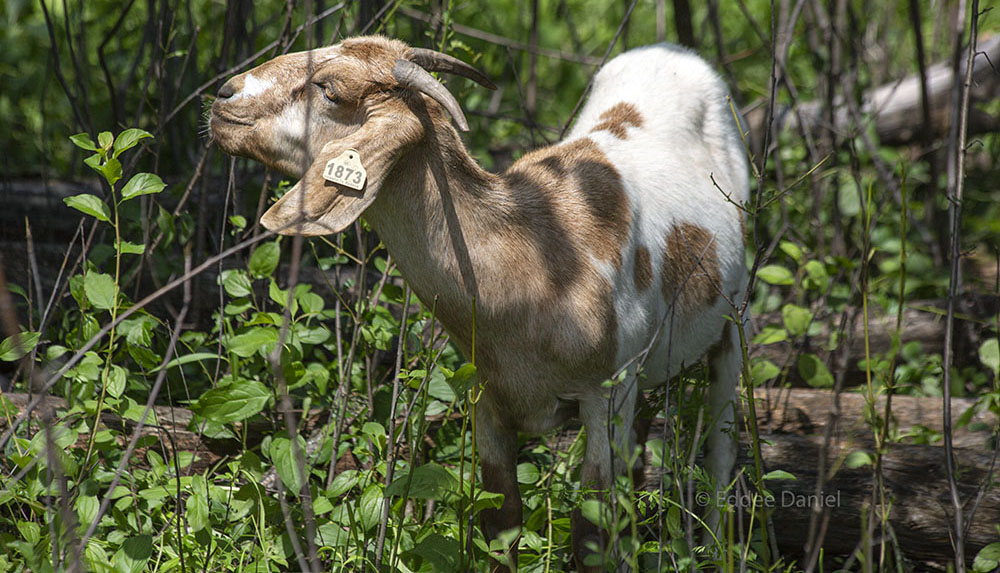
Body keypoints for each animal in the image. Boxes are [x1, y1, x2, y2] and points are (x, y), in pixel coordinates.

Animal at [211, 34, 748, 568]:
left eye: (329, 89)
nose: (225, 95)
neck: (534, 261)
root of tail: (672, 51)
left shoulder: (606, 395)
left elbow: (590, 535)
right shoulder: (488, 398)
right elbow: (501, 523)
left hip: (733, 319)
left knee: (723, 447)